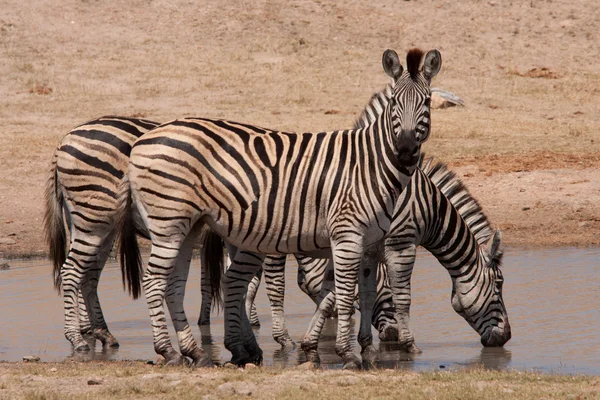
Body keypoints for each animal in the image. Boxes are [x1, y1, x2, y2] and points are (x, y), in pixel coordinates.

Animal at [119, 47, 442, 368]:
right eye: (394, 102)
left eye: (426, 101)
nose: (405, 150)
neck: (370, 162)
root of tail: (140, 143)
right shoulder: (347, 234)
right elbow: (345, 293)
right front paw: (348, 354)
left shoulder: (365, 242)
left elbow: (357, 292)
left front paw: (356, 351)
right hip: (168, 221)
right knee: (154, 281)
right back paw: (168, 351)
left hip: (189, 226)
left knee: (174, 284)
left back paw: (195, 352)